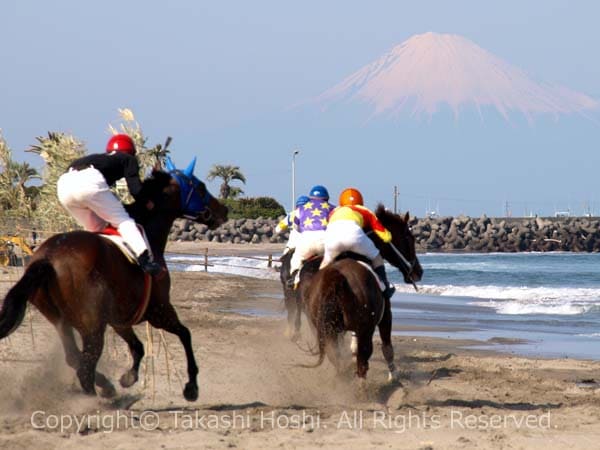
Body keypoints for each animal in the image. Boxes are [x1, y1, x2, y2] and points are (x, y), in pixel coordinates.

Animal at [0, 159, 227, 400]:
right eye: (201, 187)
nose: (224, 210)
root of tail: (48, 258)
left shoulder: (119, 318)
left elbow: (138, 347)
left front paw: (128, 378)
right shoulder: (160, 311)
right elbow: (185, 334)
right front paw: (191, 387)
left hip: (61, 320)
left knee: (75, 357)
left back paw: (106, 386)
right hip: (92, 326)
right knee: (85, 367)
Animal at [300, 207, 422, 386]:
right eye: (409, 238)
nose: (419, 272)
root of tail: (335, 276)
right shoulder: (385, 316)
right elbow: (387, 348)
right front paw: (393, 375)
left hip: (327, 329)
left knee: (336, 356)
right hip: (365, 329)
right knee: (363, 360)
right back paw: (361, 388)